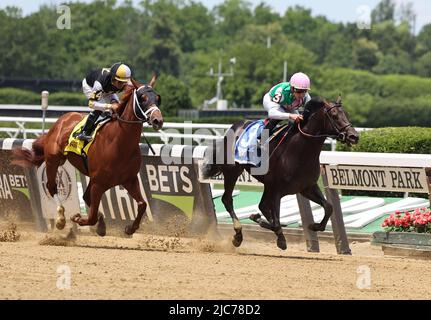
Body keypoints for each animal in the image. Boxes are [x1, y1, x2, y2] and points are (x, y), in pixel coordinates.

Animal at [13, 75, 164, 235]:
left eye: (157, 98)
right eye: (143, 98)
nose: (158, 120)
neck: (119, 143)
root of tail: (63, 119)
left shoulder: (129, 180)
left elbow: (142, 204)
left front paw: (130, 228)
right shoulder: (98, 184)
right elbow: (91, 217)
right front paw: (78, 218)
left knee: (85, 197)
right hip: (53, 160)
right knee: (51, 187)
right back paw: (61, 218)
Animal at [204, 97, 360, 250]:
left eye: (346, 114)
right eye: (334, 115)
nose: (354, 136)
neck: (300, 152)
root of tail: (234, 127)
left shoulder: (306, 187)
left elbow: (328, 207)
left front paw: (314, 226)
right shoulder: (277, 190)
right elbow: (276, 222)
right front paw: (277, 236)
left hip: (265, 184)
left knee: (261, 205)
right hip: (233, 171)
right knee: (227, 199)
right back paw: (238, 235)